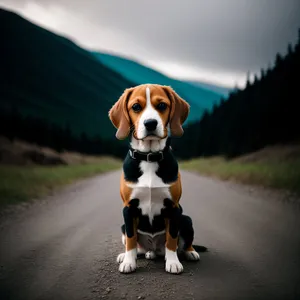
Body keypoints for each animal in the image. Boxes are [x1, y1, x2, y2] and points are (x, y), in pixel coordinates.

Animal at [109, 82, 200, 274]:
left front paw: (173, 262)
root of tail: (153, 248)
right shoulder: (128, 209)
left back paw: (190, 252)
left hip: (186, 219)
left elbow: (172, 239)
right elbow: (131, 239)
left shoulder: (173, 208)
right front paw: (128, 262)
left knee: (180, 243)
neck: (149, 156)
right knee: (138, 247)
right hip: (124, 225)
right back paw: (130, 255)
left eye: (162, 105)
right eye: (136, 107)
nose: (150, 123)